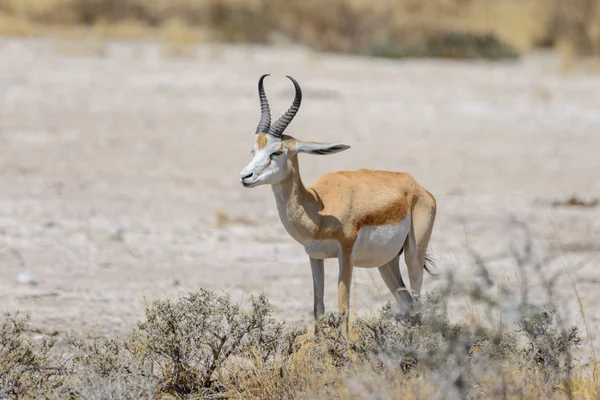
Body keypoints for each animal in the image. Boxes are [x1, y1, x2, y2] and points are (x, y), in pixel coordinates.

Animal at [239, 74, 436, 334]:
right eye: (254, 150)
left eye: (277, 152)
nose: (245, 177)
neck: (319, 209)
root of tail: (416, 186)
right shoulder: (315, 256)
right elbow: (318, 309)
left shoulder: (346, 253)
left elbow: (343, 309)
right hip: (387, 262)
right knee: (407, 303)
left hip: (413, 256)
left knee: (419, 303)